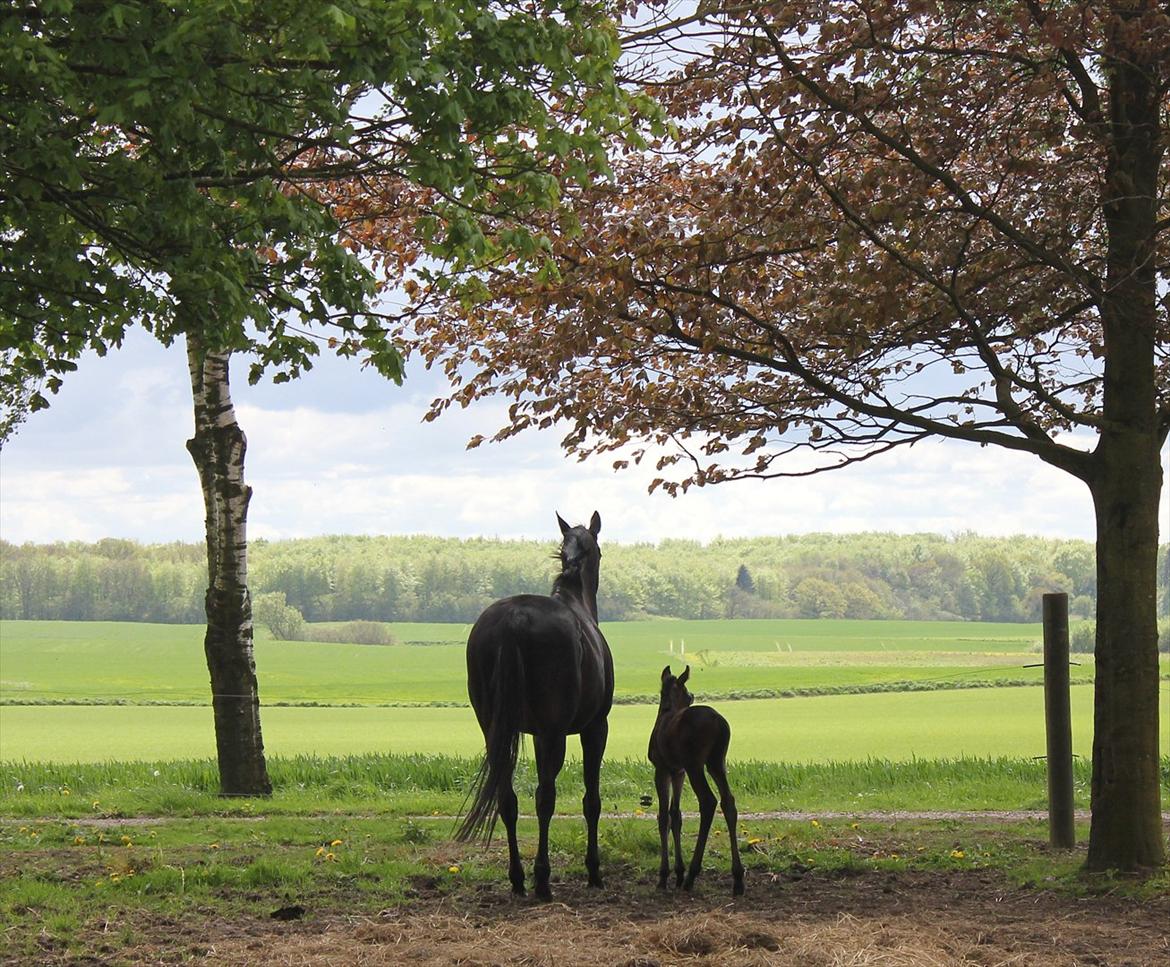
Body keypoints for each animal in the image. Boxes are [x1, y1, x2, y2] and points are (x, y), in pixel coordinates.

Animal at [453, 512, 613, 899]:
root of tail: (514, 619)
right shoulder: (594, 728)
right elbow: (591, 801)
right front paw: (593, 870)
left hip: (493, 728)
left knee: (507, 799)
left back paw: (517, 877)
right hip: (554, 734)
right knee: (544, 798)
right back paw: (541, 878)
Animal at [645, 664, 744, 899]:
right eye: (689, 694)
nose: (692, 696)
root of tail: (720, 724)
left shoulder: (662, 769)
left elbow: (663, 817)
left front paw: (664, 876)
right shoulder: (677, 772)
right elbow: (676, 815)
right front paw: (678, 873)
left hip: (695, 763)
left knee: (708, 801)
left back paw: (692, 874)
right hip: (716, 760)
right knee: (728, 801)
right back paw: (737, 878)